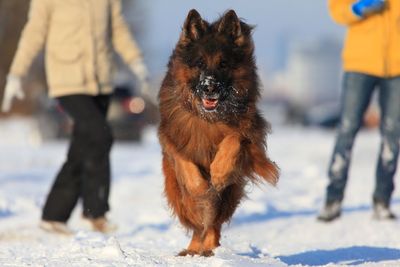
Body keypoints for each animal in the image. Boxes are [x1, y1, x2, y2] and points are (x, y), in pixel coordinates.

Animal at [157, 9, 278, 258]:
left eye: (223, 64)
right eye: (199, 63)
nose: (209, 87)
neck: (209, 118)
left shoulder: (250, 131)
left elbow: (233, 139)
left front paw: (219, 173)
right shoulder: (171, 137)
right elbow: (185, 162)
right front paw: (201, 187)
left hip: (230, 193)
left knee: (213, 223)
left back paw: (209, 248)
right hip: (175, 190)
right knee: (197, 222)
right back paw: (194, 247)